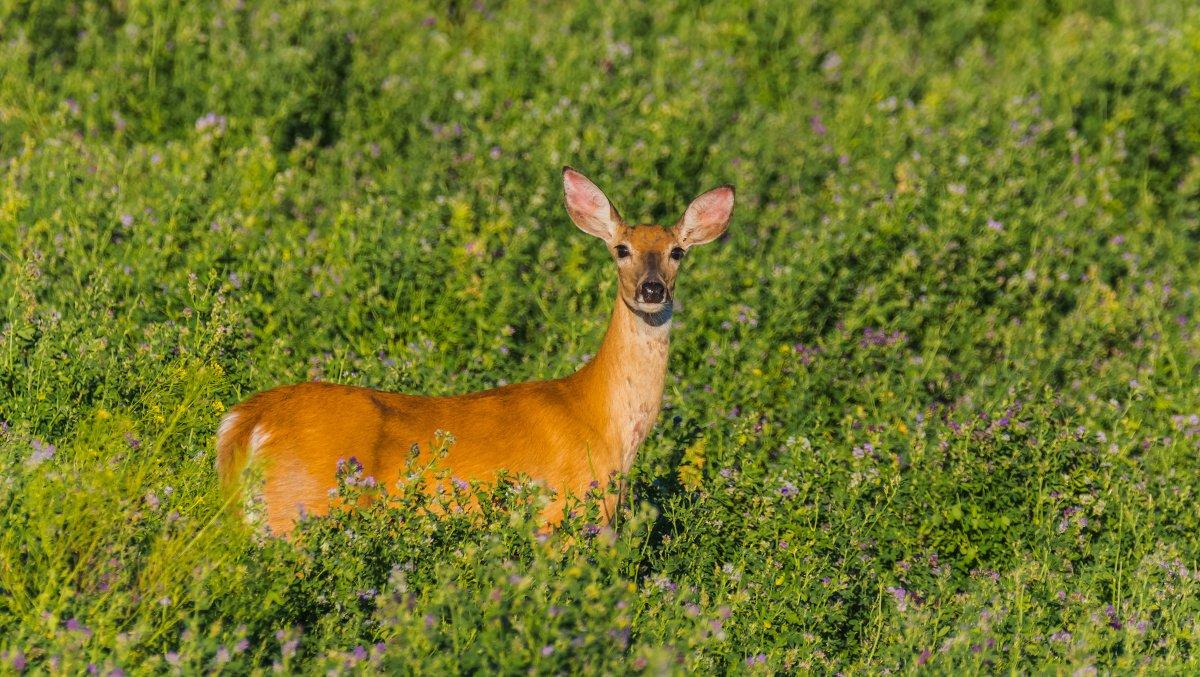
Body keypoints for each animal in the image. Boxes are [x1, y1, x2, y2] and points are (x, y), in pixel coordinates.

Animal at [219, 168, 734, 535]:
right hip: (297, 510)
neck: (602, 419)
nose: (652, 289)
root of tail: (243, 423)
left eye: (677, 252)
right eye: (621, 248)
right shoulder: (560, 519)